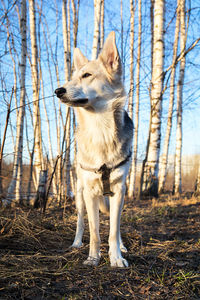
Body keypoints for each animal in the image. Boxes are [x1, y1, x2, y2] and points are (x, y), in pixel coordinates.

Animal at [54, 32, 133, 268]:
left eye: (87, 75)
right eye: (71, 78)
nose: (58, 91)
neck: (101, 132)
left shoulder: (119, 191)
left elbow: (114, 230)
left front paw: (116, 257)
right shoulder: (89, 193)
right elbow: (95, 232)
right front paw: (93, 257)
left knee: (117, 225)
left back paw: (122, 246)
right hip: (80, 195)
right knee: (81, 222)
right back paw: (77, 243)